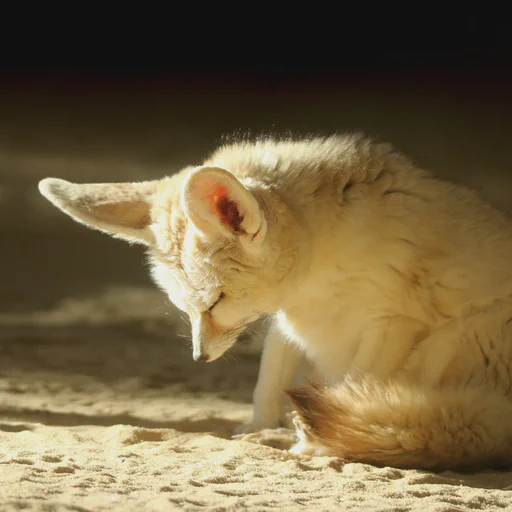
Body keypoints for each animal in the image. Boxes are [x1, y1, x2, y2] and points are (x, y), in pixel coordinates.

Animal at [41, 134, 512, 470]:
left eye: (215, 302)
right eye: (187, 308)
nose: (199, 358)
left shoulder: (391, 323)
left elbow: (352, 388)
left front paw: (309, 444)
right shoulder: (287, 320)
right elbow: (268, 381)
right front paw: (260, 427)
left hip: (460, 336)